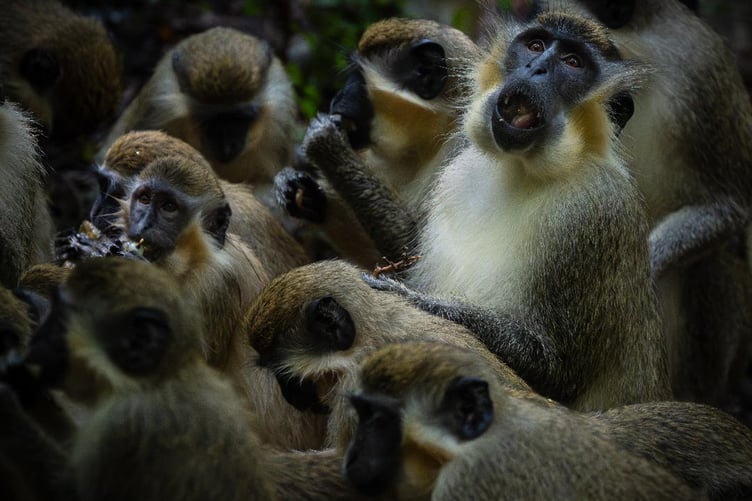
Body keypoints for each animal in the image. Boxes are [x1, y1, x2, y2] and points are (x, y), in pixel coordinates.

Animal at [282, 18, 480, 265]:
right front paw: (304, 193)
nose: (336, 98)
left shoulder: (465, 151)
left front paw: (325, 143)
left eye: (357, 75)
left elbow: (413, 256)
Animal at [304, 11, 670, 411]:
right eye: (536, 45)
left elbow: (556, 373)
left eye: (573, 62)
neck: (517, 169)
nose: (535, 68)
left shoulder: (594, 211)